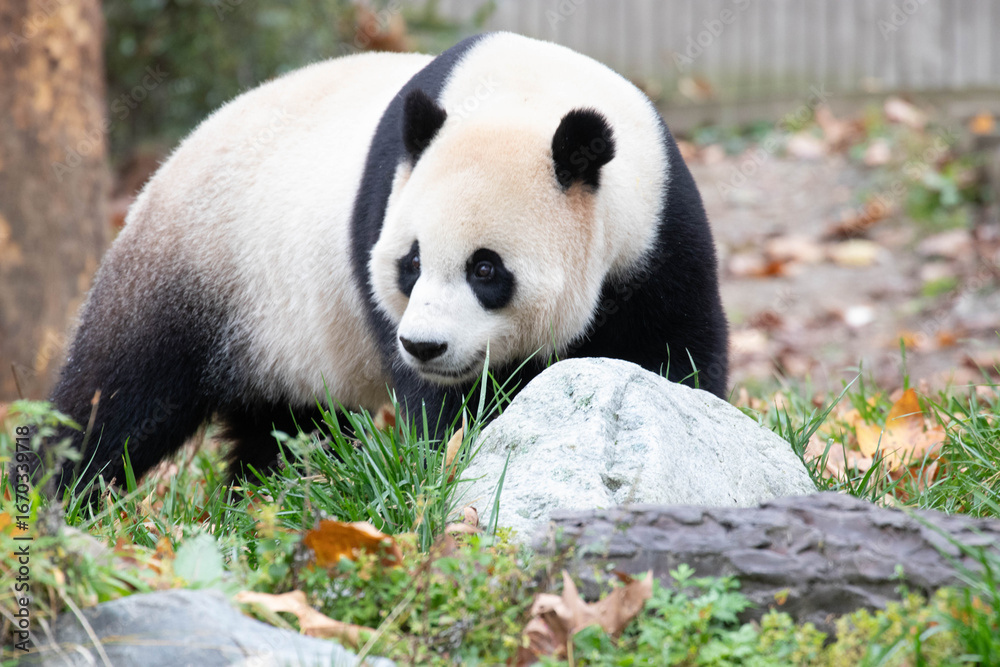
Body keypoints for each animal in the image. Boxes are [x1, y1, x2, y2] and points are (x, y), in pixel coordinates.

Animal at [43, 32, 728, 493]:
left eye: (486, 269)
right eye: (412, 263)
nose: (425, 346)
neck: (528, 98)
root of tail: (167, 163)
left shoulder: (658, 229)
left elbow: (676, 350)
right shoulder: (389, 200)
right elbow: (442, 409)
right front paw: (457, 454)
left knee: (284, 428)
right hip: (197, 266)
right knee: (118, 394)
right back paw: (59, 495)